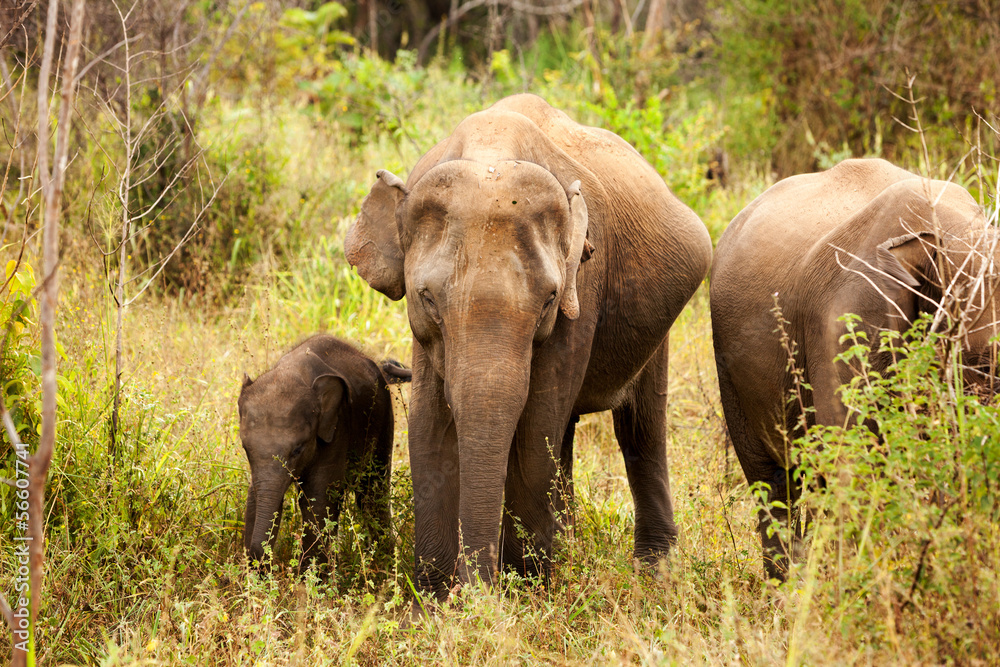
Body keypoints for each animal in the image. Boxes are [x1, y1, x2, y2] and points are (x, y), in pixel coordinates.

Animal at [238, 336, 410, 572]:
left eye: (298, 449)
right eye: (245, 448)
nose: (260, 561)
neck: (293, 373)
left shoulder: (337, 427)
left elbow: (318, 498)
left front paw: (309, 578)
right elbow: (254, 497)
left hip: (383, 417)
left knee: (372, 493)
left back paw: (385, 561)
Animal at [344, 91, 712, 596]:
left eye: (549, 299)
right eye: (428, 298)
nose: (477, 592)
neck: (491, 152)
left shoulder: (583, 285)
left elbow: (537, 427)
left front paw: (526, 589)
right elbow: (428, 427)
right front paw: (433, 599)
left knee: (640, 428)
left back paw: (652, 571)